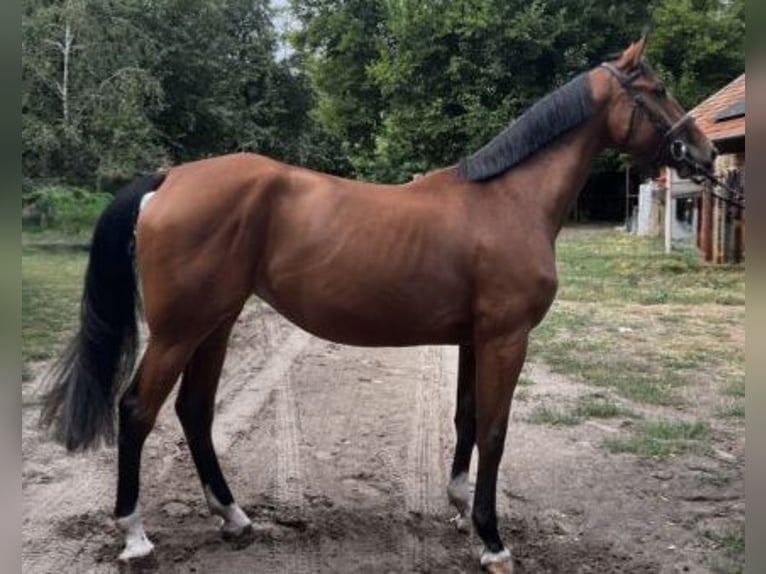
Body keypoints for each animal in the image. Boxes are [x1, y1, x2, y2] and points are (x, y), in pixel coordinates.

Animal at [40, 37, 717, 573]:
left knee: (194, 412)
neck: (507, 200)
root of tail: (169, 178)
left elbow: (466, 418)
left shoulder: (474, 338)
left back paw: (234, 518)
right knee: (137, 410)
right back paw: (135, 537)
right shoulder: (506, 337)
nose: (705, 154)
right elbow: (495, 431)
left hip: (217, 323)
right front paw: (492, 541)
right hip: (180, 330)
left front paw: (459, 507)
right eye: (657, 89)